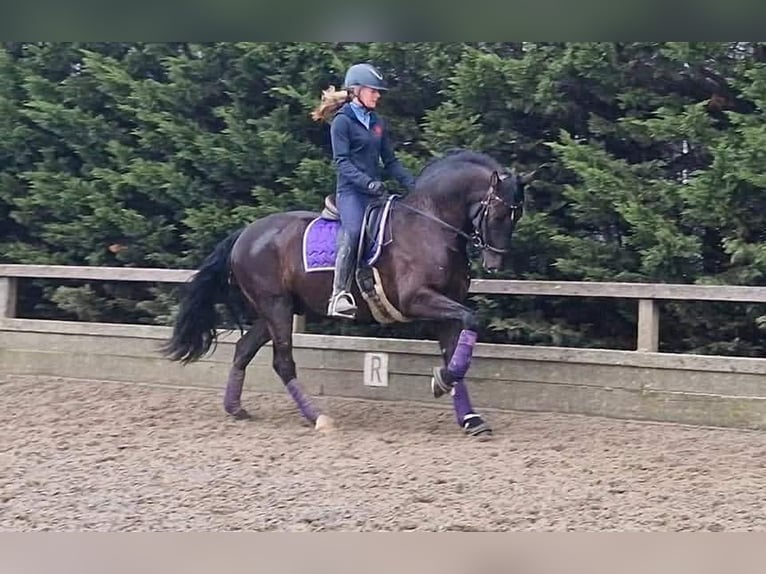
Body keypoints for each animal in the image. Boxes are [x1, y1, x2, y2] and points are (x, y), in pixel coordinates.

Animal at [161, 149, 534, 438]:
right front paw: (443, 382)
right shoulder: (417, 299)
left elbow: (456, 351)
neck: (431, 224)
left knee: (243, 350)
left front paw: (467, 414)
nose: (495, 263)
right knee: (283, 362)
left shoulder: (446, 306)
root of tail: (245, 233)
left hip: (276, 310)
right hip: (276, 307)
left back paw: (235, 409)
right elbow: (472, 320)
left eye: (517, 216)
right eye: (499, 212)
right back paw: (317, 418)